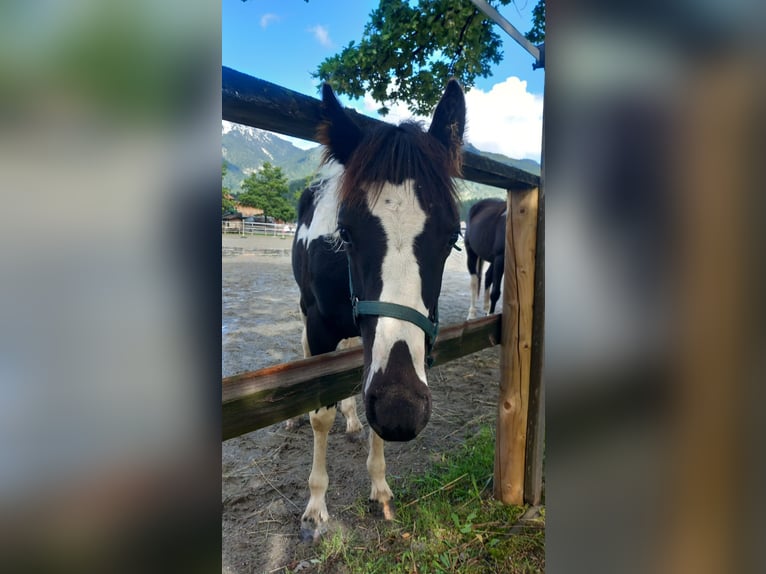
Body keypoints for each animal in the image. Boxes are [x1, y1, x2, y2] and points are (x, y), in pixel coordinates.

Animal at [292, 80, 464, 540]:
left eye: (453, 237)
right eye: (346, 232)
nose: (400, 412)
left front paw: (380, 485)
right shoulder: (319, 327)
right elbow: (320, 416)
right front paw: (315, 507)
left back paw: (352, 418)